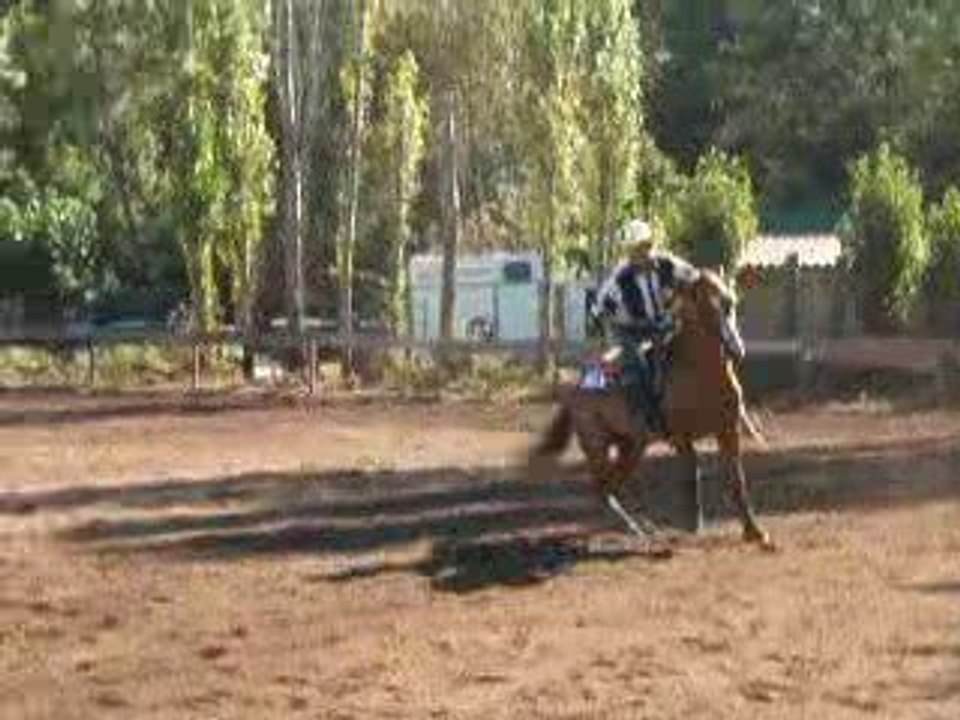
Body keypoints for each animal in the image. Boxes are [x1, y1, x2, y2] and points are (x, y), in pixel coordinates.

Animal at [528, 270, 771, 547]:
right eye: (705, 306)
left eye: (730, 303)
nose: (735, 349)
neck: (699, 373)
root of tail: (577, 387)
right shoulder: (681, 438)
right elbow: (691, 475)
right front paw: (693, 525)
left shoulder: (729, 431)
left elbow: (737, 480)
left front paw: (754, 531)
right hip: (597, 444)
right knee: (602, 487)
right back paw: (634, 528)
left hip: (631, 445)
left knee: (612, 485)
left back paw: (641, 526)